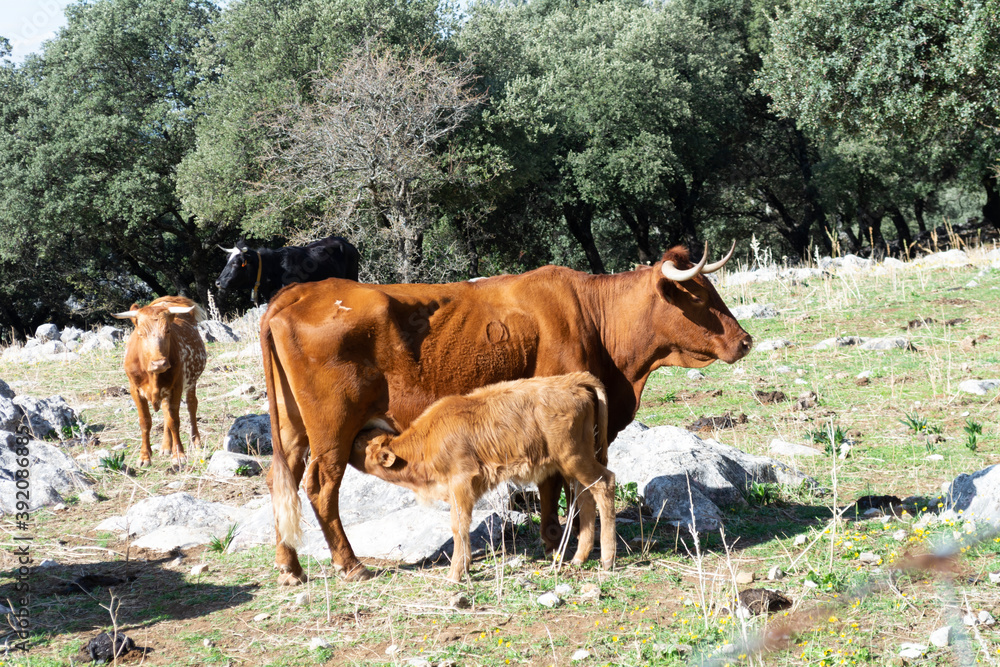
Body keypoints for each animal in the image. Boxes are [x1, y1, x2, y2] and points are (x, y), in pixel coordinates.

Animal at [113, 294, 207, 468]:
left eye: (168, 330)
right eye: (141, 333)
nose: (159, 363)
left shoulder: (176, 387)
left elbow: (174, 421)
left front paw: (179, 455)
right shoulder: (135, 390)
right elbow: (145, 422)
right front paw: (145, 457)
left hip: (191, 382)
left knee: (191, 405)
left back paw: (195, 441)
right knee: (165, 411)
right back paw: (165, 446)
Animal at [352, 374, 616, 580]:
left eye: (359, 444)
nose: (351, 439)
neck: (428, 440)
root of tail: (572, 380)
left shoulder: (461, 484)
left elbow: (459, 526)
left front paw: (455, 574)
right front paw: (465, 566)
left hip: (575, 459)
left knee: (605, 484)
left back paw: (607, 560)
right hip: (574, 465)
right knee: (586, 496)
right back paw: (580, 558)